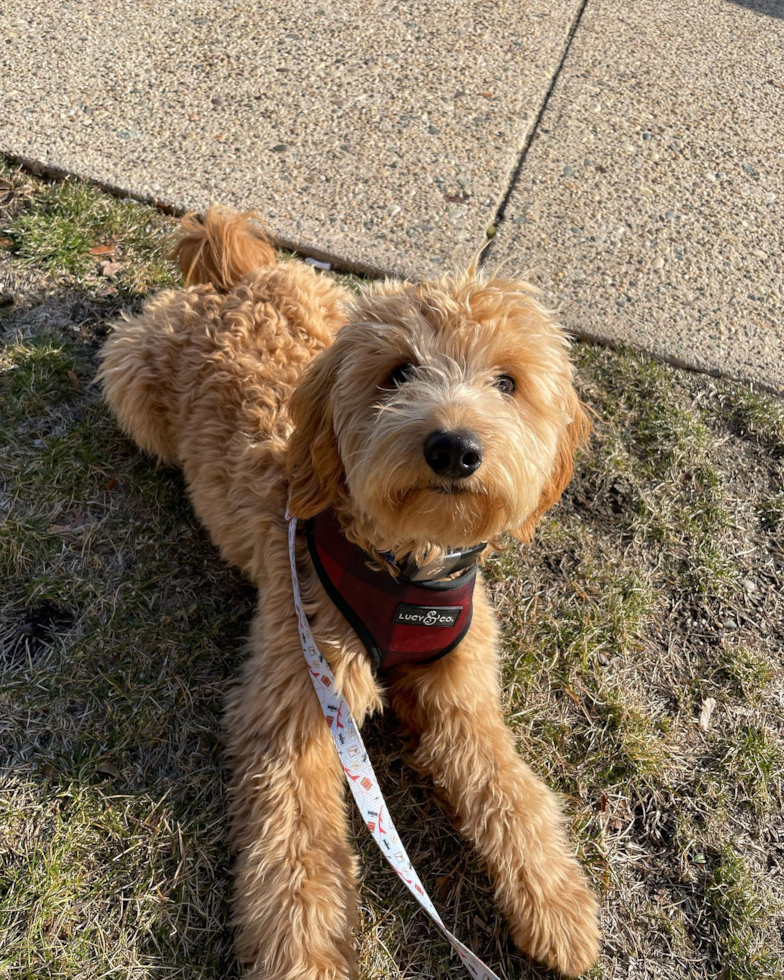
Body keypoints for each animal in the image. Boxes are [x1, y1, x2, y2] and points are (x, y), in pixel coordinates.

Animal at [98, 211, 600, 980]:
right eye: (398, 374)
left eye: (508, 382)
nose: (453, 448)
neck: (403, 566)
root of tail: (238, 276)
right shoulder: (299, 705)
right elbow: (296, 851)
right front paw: (307, 958)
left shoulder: (464, 692)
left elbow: (510, 788)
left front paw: (557, 903)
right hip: (127, 372)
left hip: (334, 301)